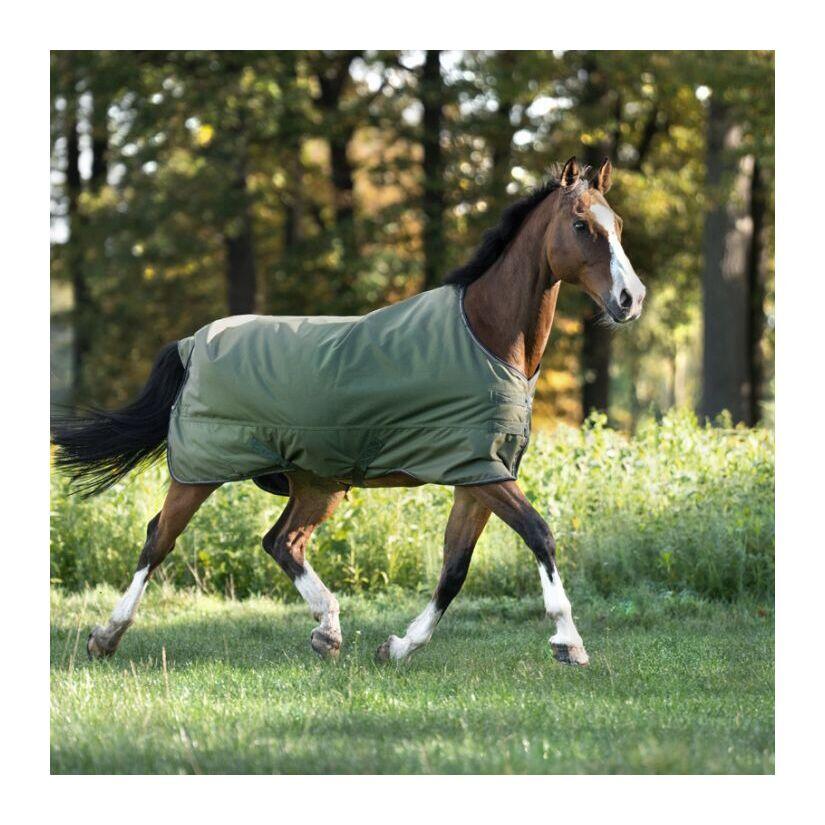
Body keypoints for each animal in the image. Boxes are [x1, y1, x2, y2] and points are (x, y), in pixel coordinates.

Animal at [52, 156, 646, 667]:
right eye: (580, 225)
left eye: (616, 223)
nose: (630, 299)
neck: (487, 337)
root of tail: (193, 342)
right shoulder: (482, 473)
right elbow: (539, 535)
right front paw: (569, 642)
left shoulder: (477, 476)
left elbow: (454, 568)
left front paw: (398, 647)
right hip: (200, 471)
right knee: (159, 539)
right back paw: (106, 636)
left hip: (317, 482)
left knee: (282, 542)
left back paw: (328, 630)